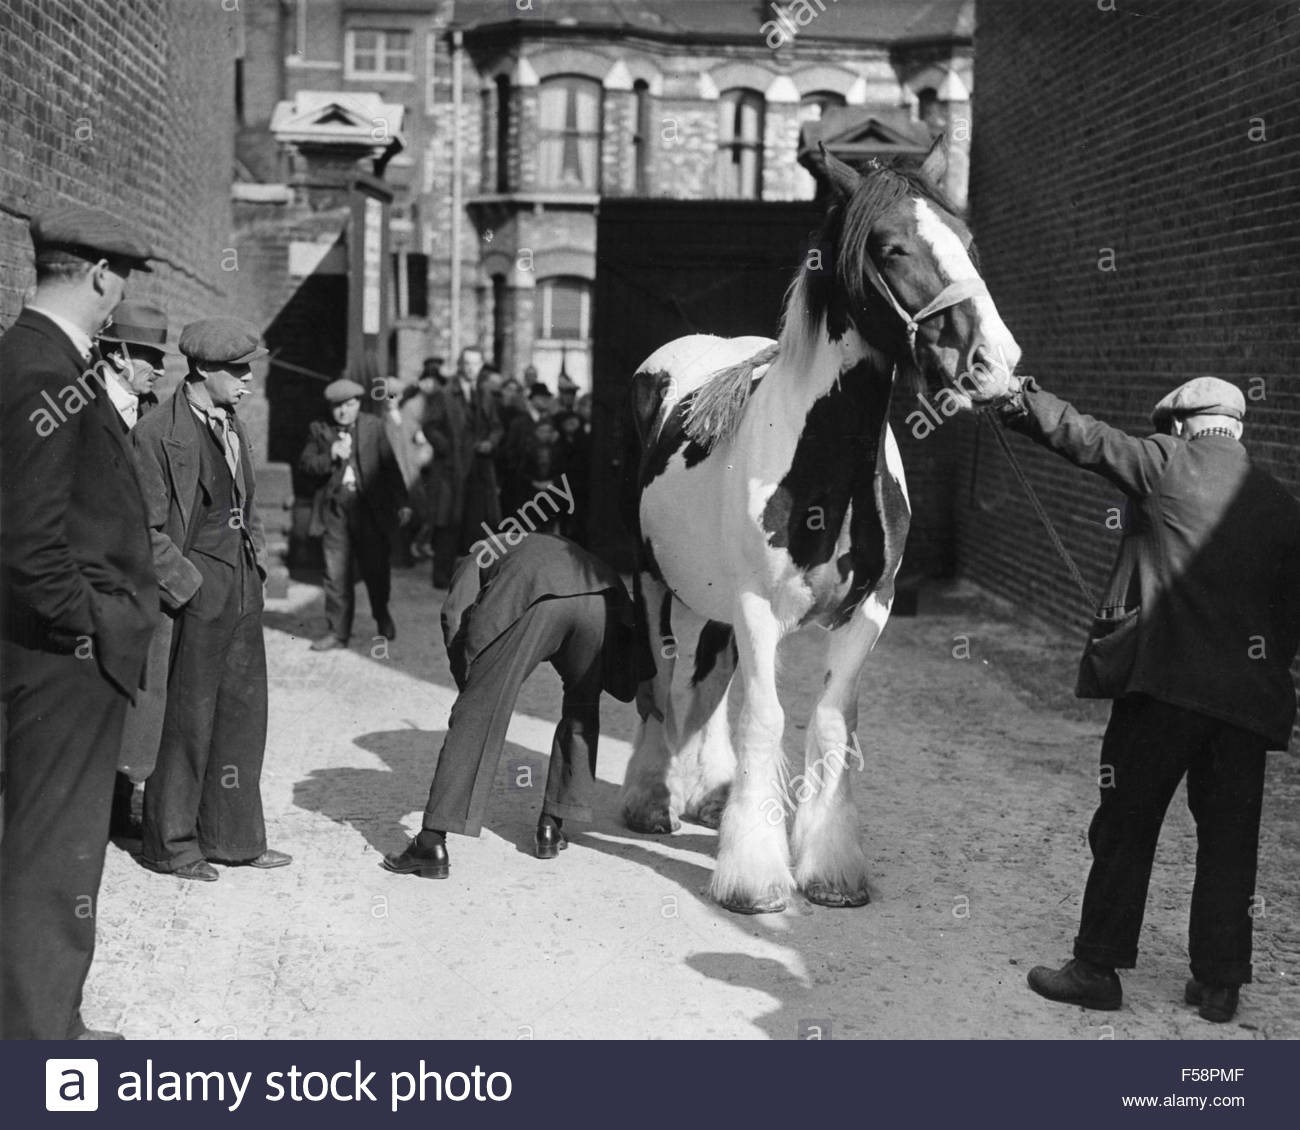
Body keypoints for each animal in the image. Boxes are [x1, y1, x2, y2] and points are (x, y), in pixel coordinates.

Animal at [624, 141, 1019, 910]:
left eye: (967, 240)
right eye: (892, 247)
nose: (994, 363)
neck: (826, 468)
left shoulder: (871, 609)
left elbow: (831, 721)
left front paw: (830, 869)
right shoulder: (756, 605)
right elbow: (766, 716)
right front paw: (754, 875)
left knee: (711, 682)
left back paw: (709, 794)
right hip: (653, 580)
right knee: (663, 679)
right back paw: (655, 798)